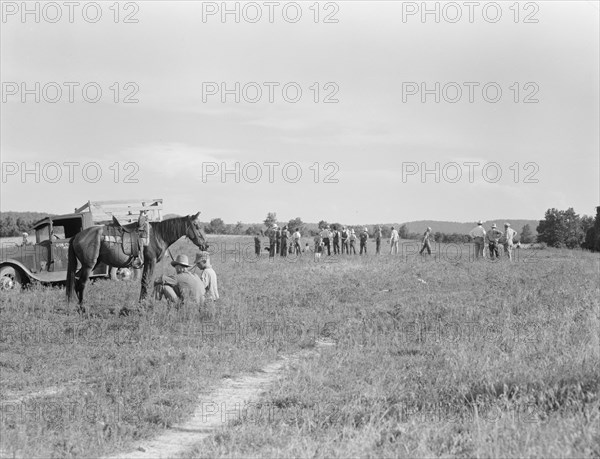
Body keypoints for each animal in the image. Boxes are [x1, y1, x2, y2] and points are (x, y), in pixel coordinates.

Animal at [66, 214, 209, 310]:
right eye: (196, 226)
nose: (206, 245)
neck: (158, 235)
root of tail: (77, 236)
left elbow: (144, 281)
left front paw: (142, 303)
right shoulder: (150, 261)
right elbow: (146, 282)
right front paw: (144, 305)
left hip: (90, 264)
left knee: (77, 281)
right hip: (89, 265)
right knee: (82, 283)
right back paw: (82, 308)